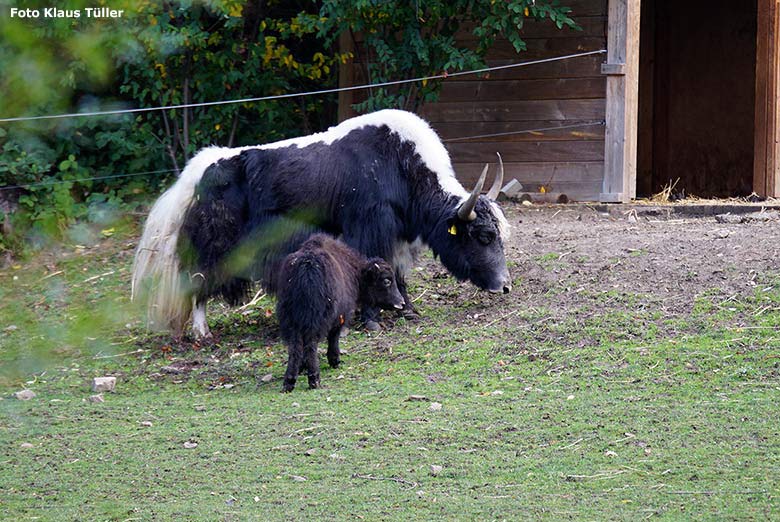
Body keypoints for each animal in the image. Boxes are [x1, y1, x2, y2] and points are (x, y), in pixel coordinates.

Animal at [278, 233, 406, 390]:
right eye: (386, 280)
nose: (401, 303)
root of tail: (306, 267)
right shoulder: (341, 315)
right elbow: (334, 336)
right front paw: (335, 361)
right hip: (315, 319)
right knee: (311, 344)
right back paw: (314, 379)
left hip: (291, 319)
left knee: (295, 346)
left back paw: (289, 381)